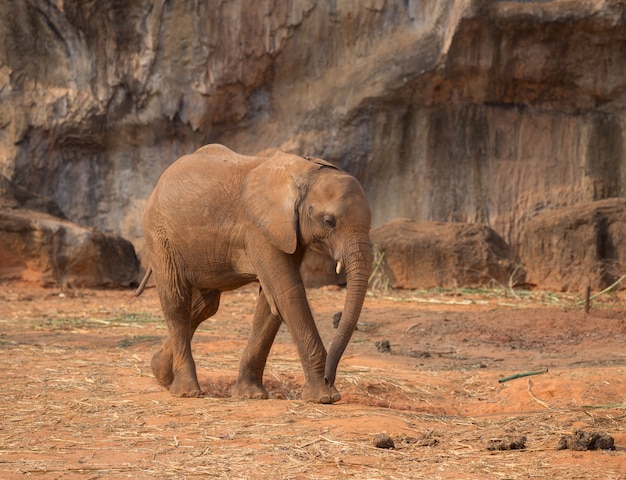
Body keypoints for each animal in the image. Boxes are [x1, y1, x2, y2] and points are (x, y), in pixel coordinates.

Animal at [136, 144, 370, 404]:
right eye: (329, 221)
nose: (331, 379)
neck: (303, 172)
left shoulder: (285, 231)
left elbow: (271, 302)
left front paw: (251, 395)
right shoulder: (259, 229)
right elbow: (287, 292)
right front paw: (324, 397)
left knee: (204, 306)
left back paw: (161, 373)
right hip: (159, 234)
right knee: (177, 302)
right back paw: (187, 391)